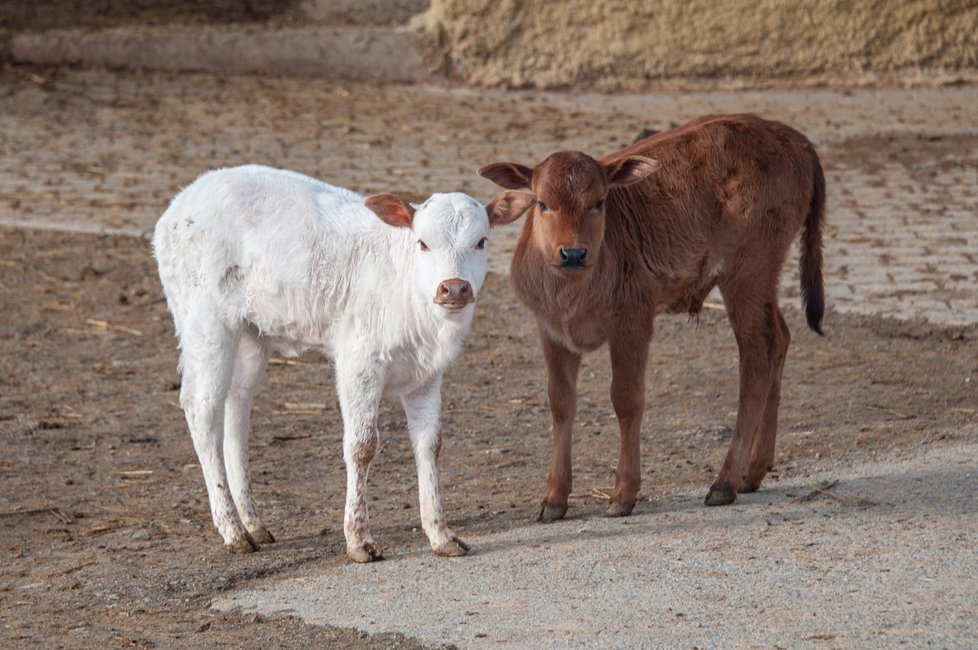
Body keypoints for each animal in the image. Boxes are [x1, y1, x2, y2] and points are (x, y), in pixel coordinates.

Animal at [152, 165, 532, 560]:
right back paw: (232, 530)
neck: (408, 292)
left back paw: (252, 522)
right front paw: (359, 539)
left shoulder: (427, 374)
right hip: (204, 320)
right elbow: (362, 445)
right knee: (201, 408)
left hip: (251, 333)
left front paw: (441, 535)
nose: (454, 287)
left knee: (237, 405)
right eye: (422, 243)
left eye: (481, 242)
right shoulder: (359, 361)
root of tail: (180, 203)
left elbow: (430, 444)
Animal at [480, 111, 824, 516]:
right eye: (542, 203)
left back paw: (725, 481)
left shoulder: (633, 320)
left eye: (599, 202)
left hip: (748, 274)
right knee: (780, 338)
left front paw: (623, 493)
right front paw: (554, 498)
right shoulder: (551, 330)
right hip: (762, 281)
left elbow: (626, 399)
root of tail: (793, 137)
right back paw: (754, 470)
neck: (572, 290)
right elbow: (561, 403)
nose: (573, 253)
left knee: (758, 356)